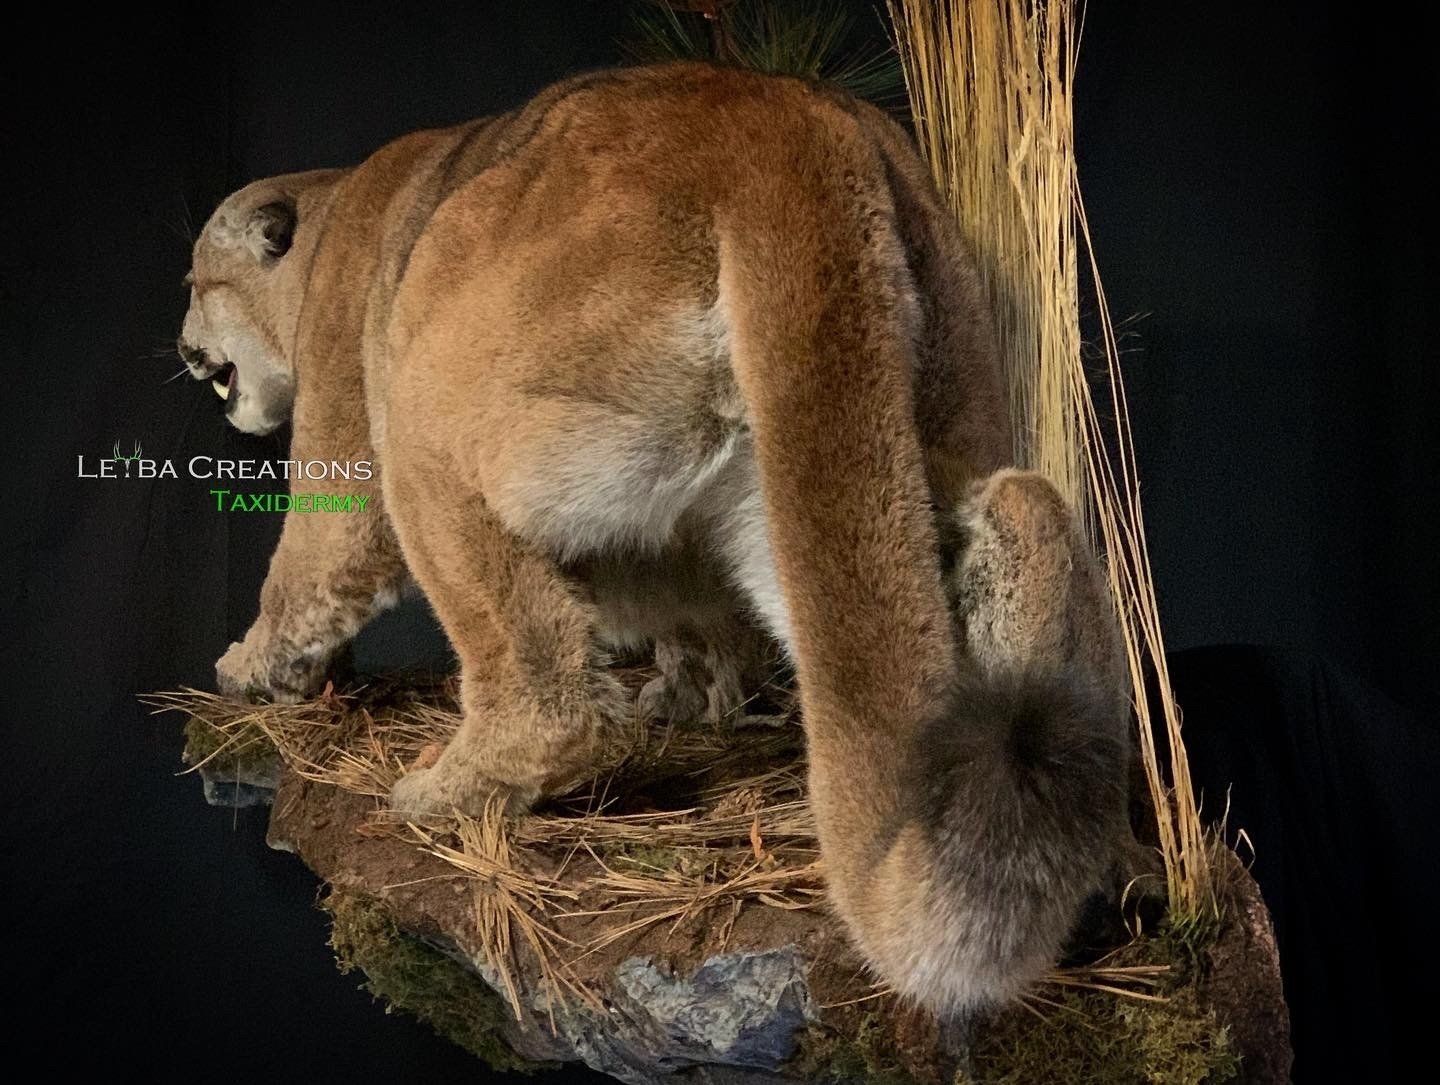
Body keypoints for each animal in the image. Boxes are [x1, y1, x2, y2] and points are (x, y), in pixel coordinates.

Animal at [176, 62, 1134, 1020]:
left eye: (193, 280)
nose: (185, 350)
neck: (336, 216)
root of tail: (780, 121)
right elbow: (682, 611)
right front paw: (688, 694)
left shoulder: (346, 414)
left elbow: (312, 564)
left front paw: (250, 669)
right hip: (856, 455)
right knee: (1007, 520)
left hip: (435, 411)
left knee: (542, 692)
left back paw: (445, 791)